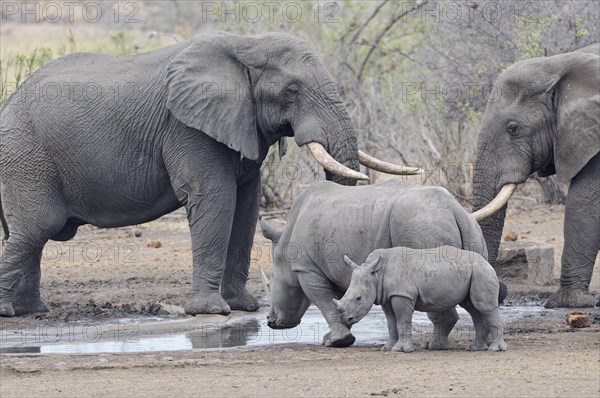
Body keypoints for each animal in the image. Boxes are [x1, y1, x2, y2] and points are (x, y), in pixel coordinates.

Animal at [0, 31, 418, 318]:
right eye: (292, 91)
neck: (246, 44)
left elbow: (246, 206)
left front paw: (243, 306)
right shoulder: (188, 128)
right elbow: (216, 199)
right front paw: (211, 311)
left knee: (32, 237)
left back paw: (34, 311)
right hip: (26, 157)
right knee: (37, 228)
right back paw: (10, 313)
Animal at [336, 247, 508, 352]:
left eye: (358, 298)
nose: (345, 319)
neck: (376, 275)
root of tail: (487, 261)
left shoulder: (402, 295)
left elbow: (402, 321)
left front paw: (401, 349)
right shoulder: (388, 296)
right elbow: (391, 323)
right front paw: (387, 348)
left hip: (481, 271)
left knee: (483, 306)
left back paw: (495, 349)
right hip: (472, 272)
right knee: (473, 308)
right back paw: (475, 348)